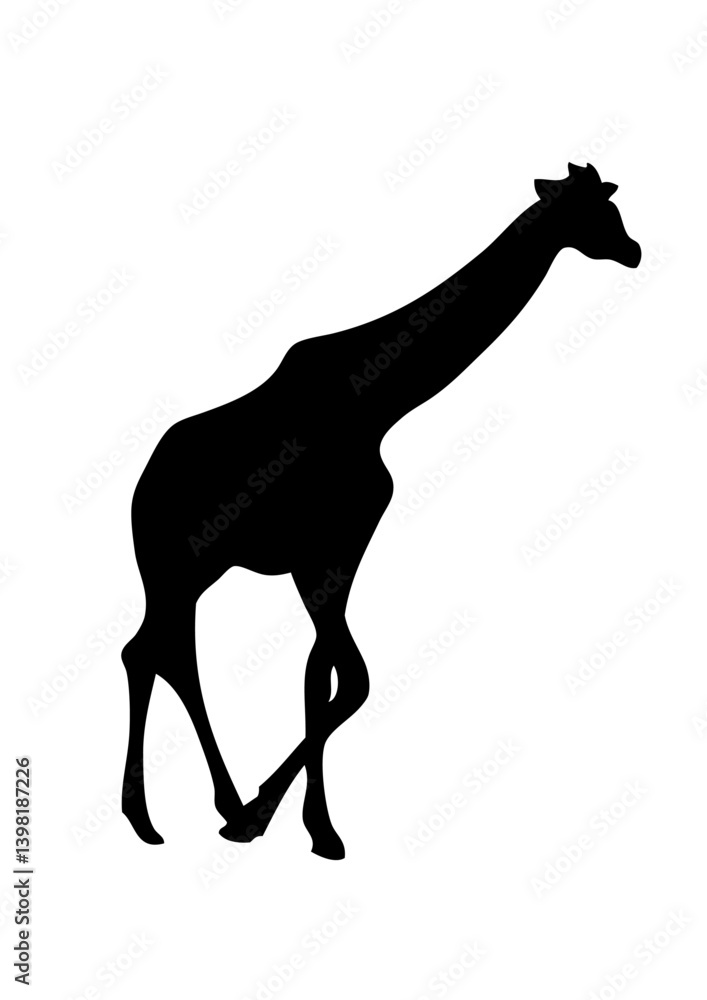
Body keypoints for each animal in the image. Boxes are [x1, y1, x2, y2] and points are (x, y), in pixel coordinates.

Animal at [121, 162, 641, 859]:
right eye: (598, 212)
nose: (634, 250)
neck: (380, 400)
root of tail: (141, 484)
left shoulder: (336, 550)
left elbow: (323, 677)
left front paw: (310, 826)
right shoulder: (321, 551)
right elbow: (351, 678)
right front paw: (270, 818)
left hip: (193, 570)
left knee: (160, 652)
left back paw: (189, 809)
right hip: (176, 565)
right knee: (153, 653)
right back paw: (167, 814)